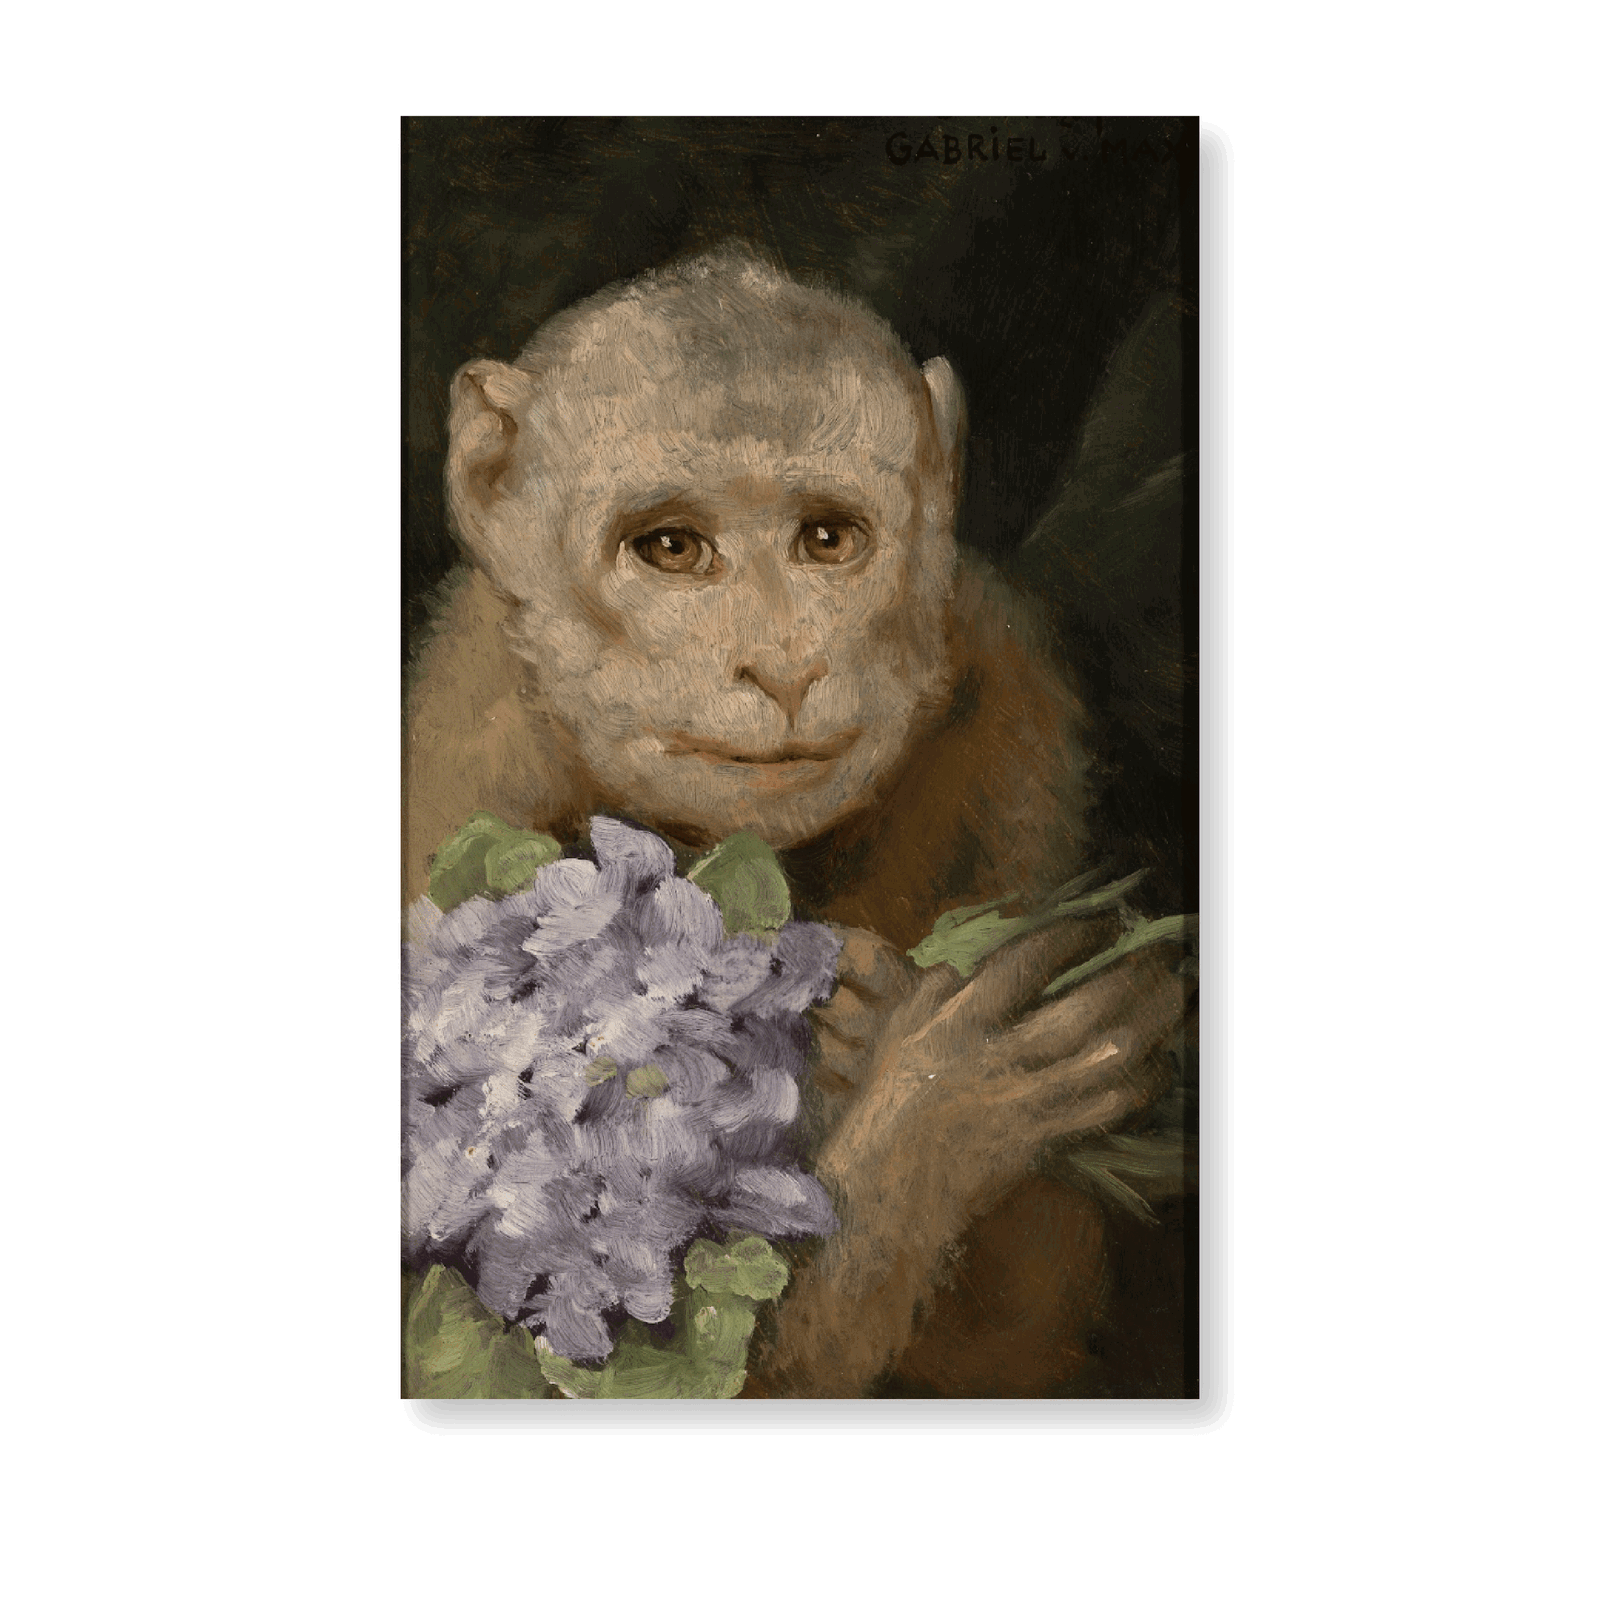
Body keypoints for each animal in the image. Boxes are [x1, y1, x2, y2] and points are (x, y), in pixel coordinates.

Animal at [403, 245, 1195, 1398]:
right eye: (671, 548)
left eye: (827, 539)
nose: (782, 663)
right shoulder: (468, 754)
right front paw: (935, 1107)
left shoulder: (1007, 699)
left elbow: (1015, 1347)